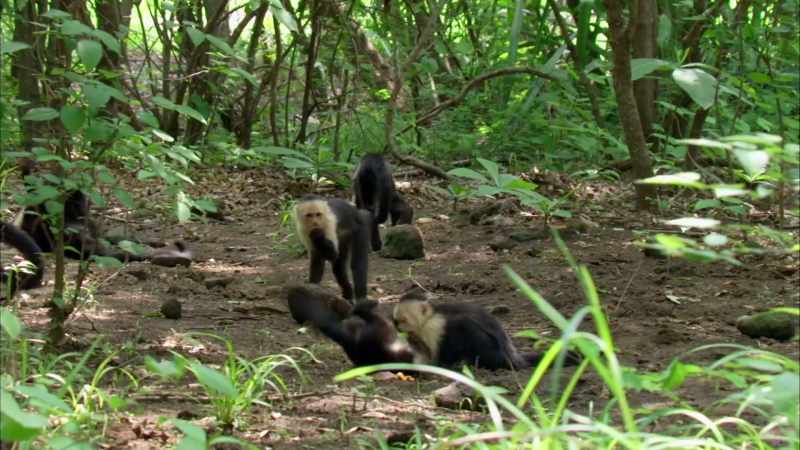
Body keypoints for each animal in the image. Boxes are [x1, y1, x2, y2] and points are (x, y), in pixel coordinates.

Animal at [393, 299, 579, 370]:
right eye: (395, 320)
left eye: (403, 320)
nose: (396, 326)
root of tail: (511, 355)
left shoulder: (434, 326)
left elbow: (440, 352)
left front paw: (439, 365)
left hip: (490, 349)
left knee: (463, 325)